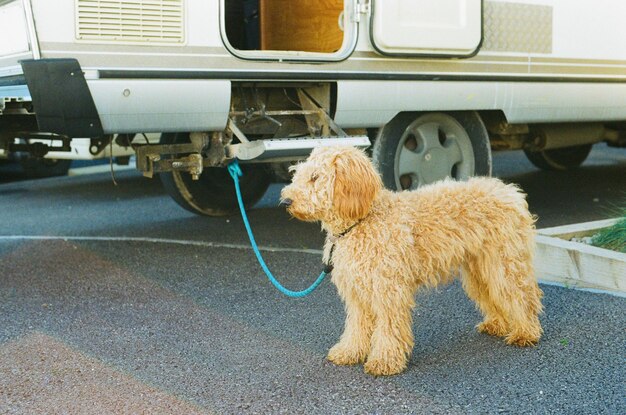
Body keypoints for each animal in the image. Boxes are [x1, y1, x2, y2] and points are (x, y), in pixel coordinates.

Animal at [280, 145, 540, 376]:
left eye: (315, 177)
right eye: (299, 174)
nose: (285, 202)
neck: (363, 219)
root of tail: (509, 190)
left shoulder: (388, 290)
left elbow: (389, 329)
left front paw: (384, 362)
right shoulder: (358, 293)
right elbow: (357, 326)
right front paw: (349, 352)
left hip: (504, 261)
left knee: (522, 294)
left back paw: (525, 332)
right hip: (479, 267)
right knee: (492, 295)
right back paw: (497, 324)